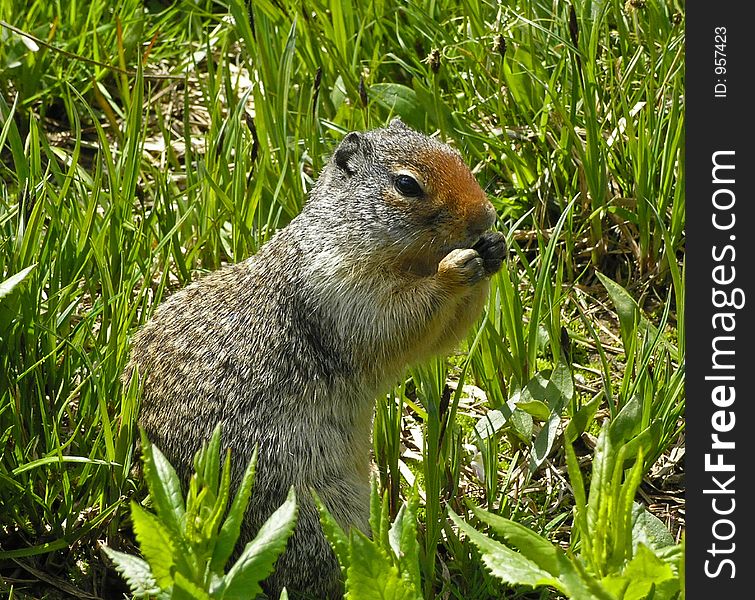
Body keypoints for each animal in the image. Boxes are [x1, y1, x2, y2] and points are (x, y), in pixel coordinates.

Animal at [125, 118, 508, 600]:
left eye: (455, 154)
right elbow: (399, 318)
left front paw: (494, 248)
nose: (485, 216)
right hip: (310, 516)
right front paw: (455, 268)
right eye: (407, 184)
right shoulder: (339, 286)